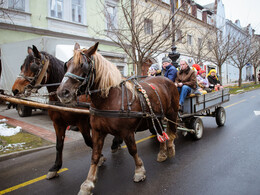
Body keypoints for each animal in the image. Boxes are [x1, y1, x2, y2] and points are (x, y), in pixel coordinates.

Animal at [10, 45, 106, 180]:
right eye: (22, 66)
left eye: (34, 66)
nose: (15, 89)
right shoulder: (57, 123)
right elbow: (59, 144)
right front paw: (55, 168)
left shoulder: (82, 123)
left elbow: (89, 141)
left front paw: (100, 157)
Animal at [56, 42, 179, 193]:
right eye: (66, 65)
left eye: (82, 65)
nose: (62, 92)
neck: (109, 99)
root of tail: (166, 79)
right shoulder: (97, 131)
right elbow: (95, 155)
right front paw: (88, 183)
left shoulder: (127, 132)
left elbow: (133, 150)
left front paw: (139, 171)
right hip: (155, 117)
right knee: (160, 131)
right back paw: (162, 153)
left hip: (172, 113)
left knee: (171, 131)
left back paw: (170, 148)